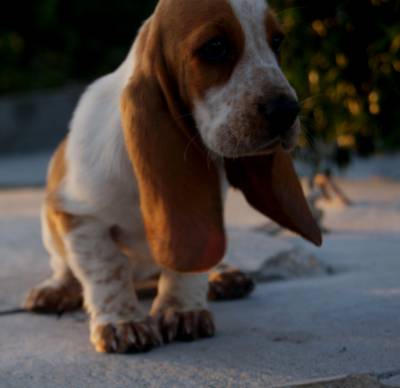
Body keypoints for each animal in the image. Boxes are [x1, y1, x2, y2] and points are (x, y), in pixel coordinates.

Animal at [23, 0, 322, 354]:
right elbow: (108, 267)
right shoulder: (79, 216)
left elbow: (188, 264)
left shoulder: (206, 213)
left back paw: (225, 277)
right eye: (215, 47)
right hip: (48, 225)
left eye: (277, 42)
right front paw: (122, 322)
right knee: (64, 266)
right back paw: (56, 289)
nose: (287, 111)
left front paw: (182, 311)